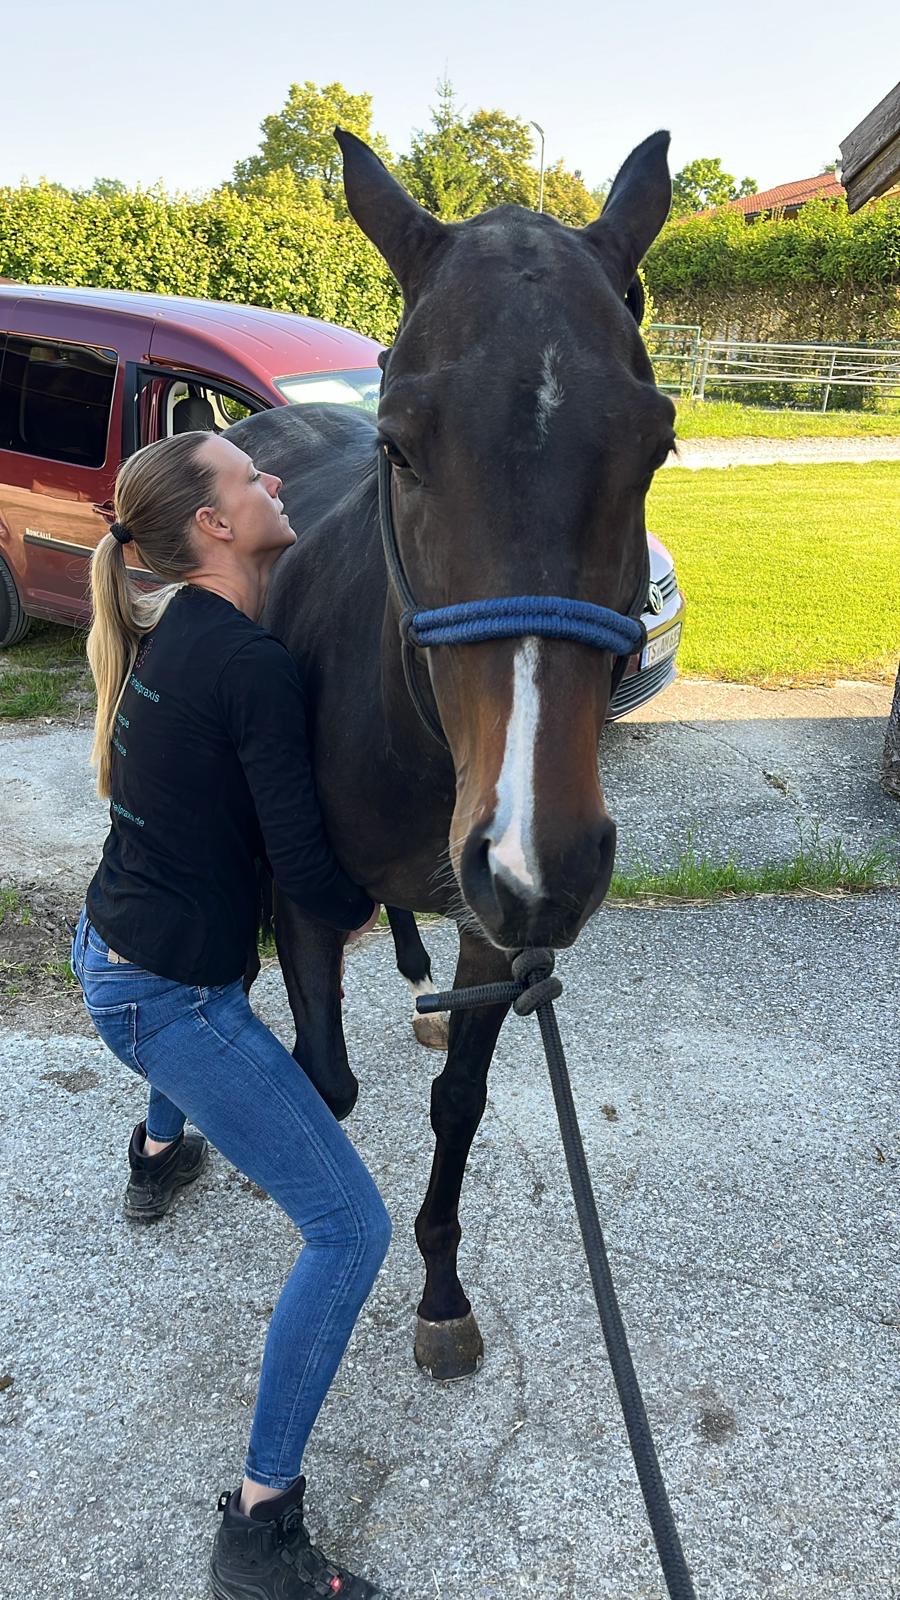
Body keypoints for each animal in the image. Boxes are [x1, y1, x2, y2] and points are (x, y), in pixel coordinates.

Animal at [226, 127, 676, 1380]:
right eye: (400, 446)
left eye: (658, 445)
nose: (538, 860)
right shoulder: (305, 896)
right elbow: (323, 1086)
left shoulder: (495, 925)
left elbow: (460, 1100)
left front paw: (436, 1287)